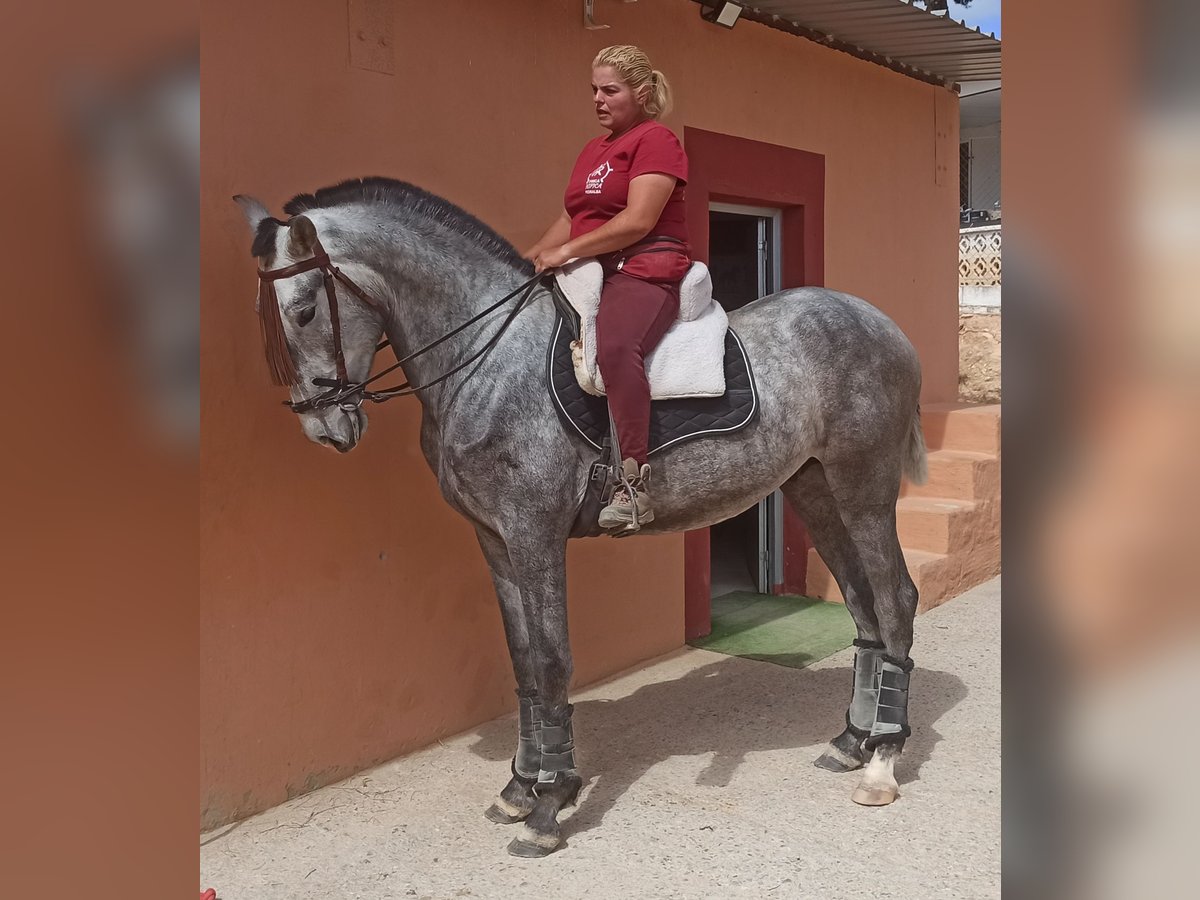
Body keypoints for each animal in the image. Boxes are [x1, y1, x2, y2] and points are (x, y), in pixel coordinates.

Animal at [231, 177, 926, 859]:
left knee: (894, 598)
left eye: (303, 310)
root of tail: (880, 322)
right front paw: (519, 787)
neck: (483, 360)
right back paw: (852, 741)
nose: (323, 426)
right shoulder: (494, 539)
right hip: (814, 489)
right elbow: (522, 661)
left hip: (863, 487)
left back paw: (883, 758)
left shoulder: (534, 533)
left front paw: (550, 801)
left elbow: (551, 661)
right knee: (862, 604)